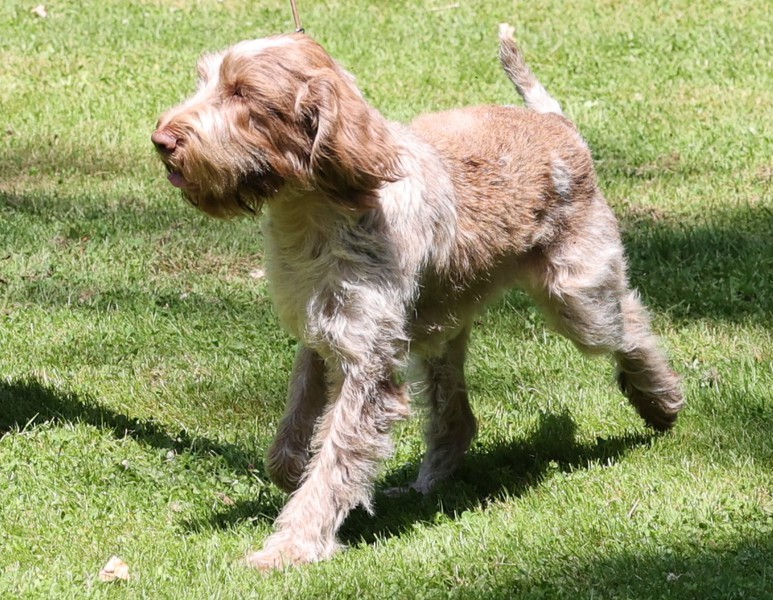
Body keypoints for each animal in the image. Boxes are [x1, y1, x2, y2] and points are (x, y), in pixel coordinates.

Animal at [151, 24, 684, 570]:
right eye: (205, 80)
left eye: (242, 93)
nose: (161, 140)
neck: (315, 209)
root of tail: (555, 122)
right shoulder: (321, 332)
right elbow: (295, 427)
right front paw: (292, 470)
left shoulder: (366, 361)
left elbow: (335, 462)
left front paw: (292, 545)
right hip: (438, 325)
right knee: (457, 417)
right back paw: (426, 484)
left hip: (576, 298)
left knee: (629, 324)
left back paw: (659, 399)